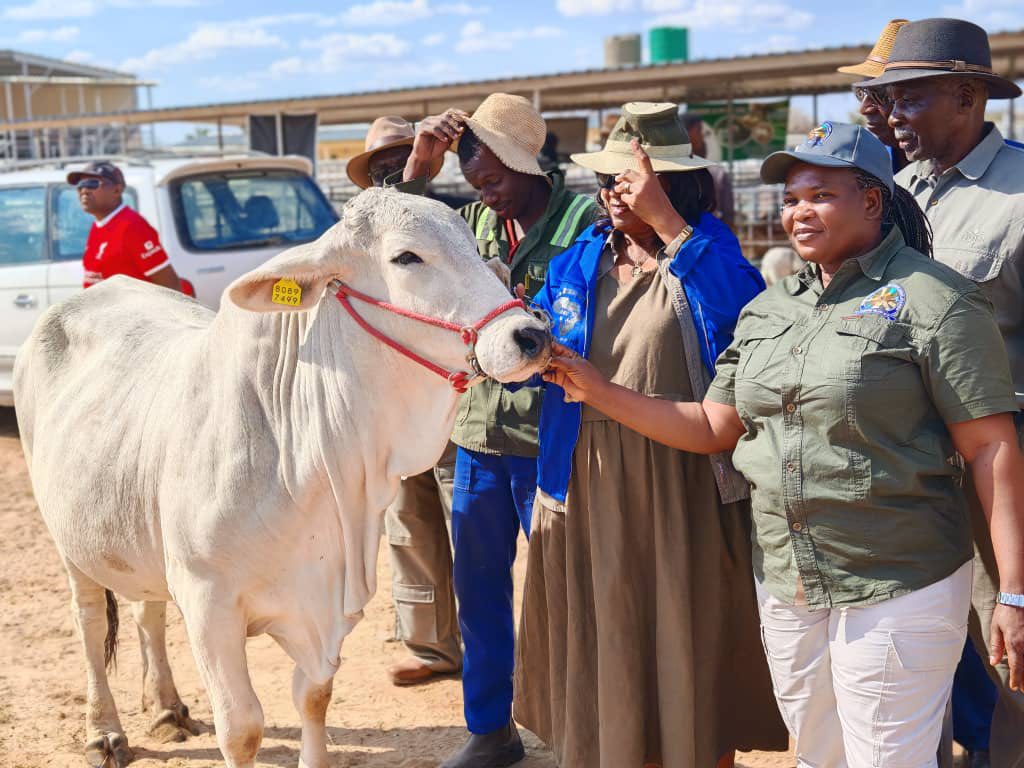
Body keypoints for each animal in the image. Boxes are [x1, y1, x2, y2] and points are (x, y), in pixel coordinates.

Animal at [13, 187, 551, 768]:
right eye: (406, 257)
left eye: (473, 245)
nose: (530, 334)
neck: (297, 454)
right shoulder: (209, 606)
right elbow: (242, 729)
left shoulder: (321, 605)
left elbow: (314, 697)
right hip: (70, 542)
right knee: (90, 622)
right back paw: (105, 731)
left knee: (146, 613)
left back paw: (167, 708)